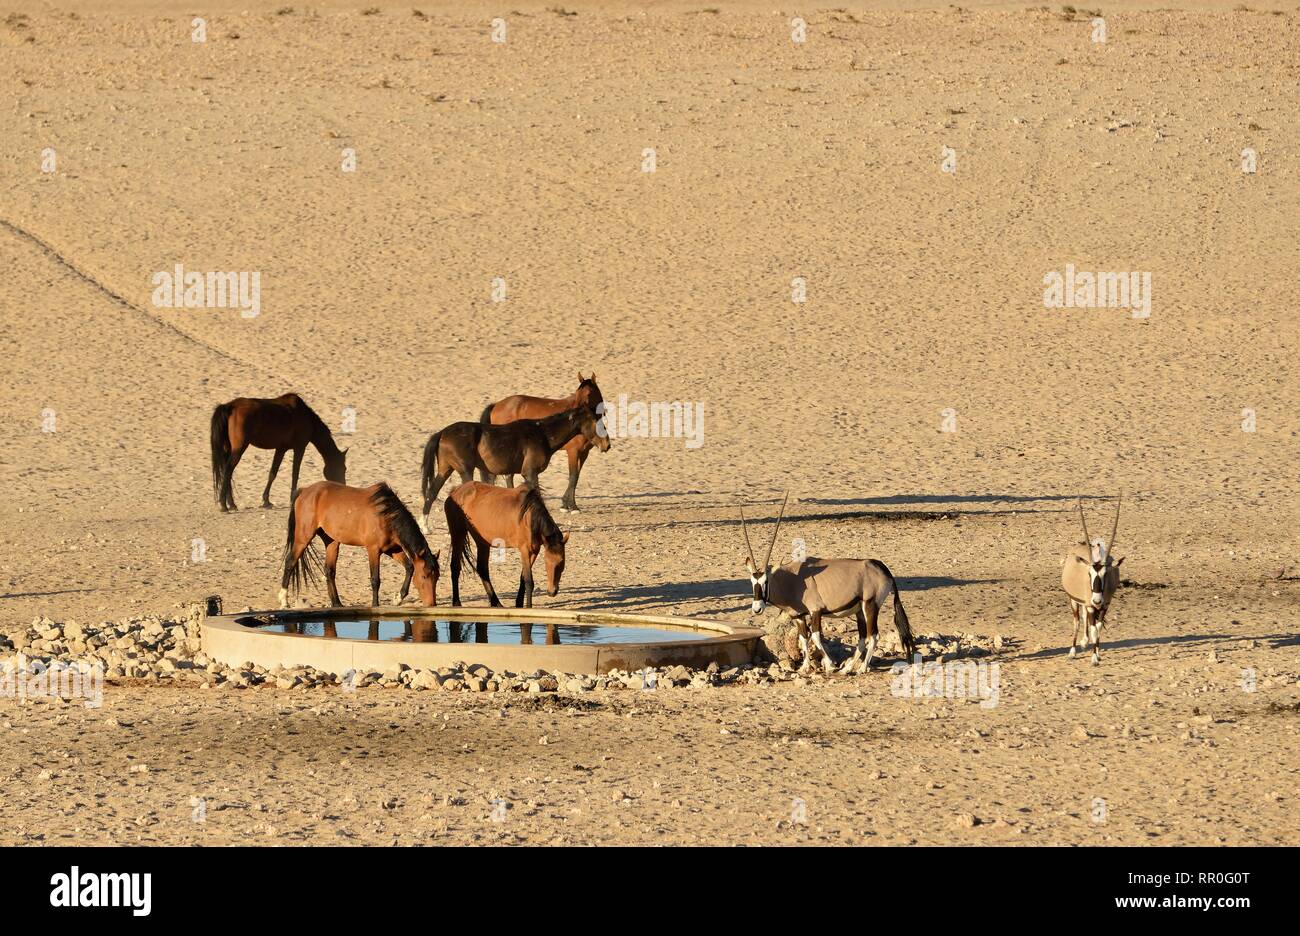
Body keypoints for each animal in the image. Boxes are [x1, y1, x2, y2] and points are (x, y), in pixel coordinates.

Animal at [209, 392, 348, 514]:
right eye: (343, 468)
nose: (343, 487)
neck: (306, 417)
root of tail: (230, 406)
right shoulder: (299, 448)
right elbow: (295, 474)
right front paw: (292, 499)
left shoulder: (281, 449)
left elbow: (272, 473)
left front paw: (266, 501)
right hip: (239, 448)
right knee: (228, 471)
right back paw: (224, 505)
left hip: (229, 449)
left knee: (227, 472)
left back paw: (231, 504)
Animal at [279, 483, 436, 605]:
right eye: (424, 576)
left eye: (437, 577)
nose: (432, 603)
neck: (386, 514)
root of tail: (304, 490)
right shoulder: (373, 550)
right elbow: (375, 580)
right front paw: (375, 605)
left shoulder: (392, 549)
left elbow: (409, 567)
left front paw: (398, 598)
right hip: (303, 537)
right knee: (290, 562)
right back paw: (283, 600)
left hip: (331, 541)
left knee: (329, 570)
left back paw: (337, 603)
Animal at [423, 403, 611, 520]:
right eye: (594, 420)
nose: (607, 444)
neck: (541, 434)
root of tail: (442, 433)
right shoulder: (530, 472)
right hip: (465, 471)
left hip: (445, 470)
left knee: (431, 493)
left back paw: (426, 527)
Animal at [483, 371, 608, 512]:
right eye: (577, 392)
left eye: (588, 393)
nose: (574, 414)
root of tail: (496, 404)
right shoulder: (573, 451)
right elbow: (573, 476)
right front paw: (571, 505)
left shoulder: (584, 453)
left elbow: (576, 477)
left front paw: (567, 503)